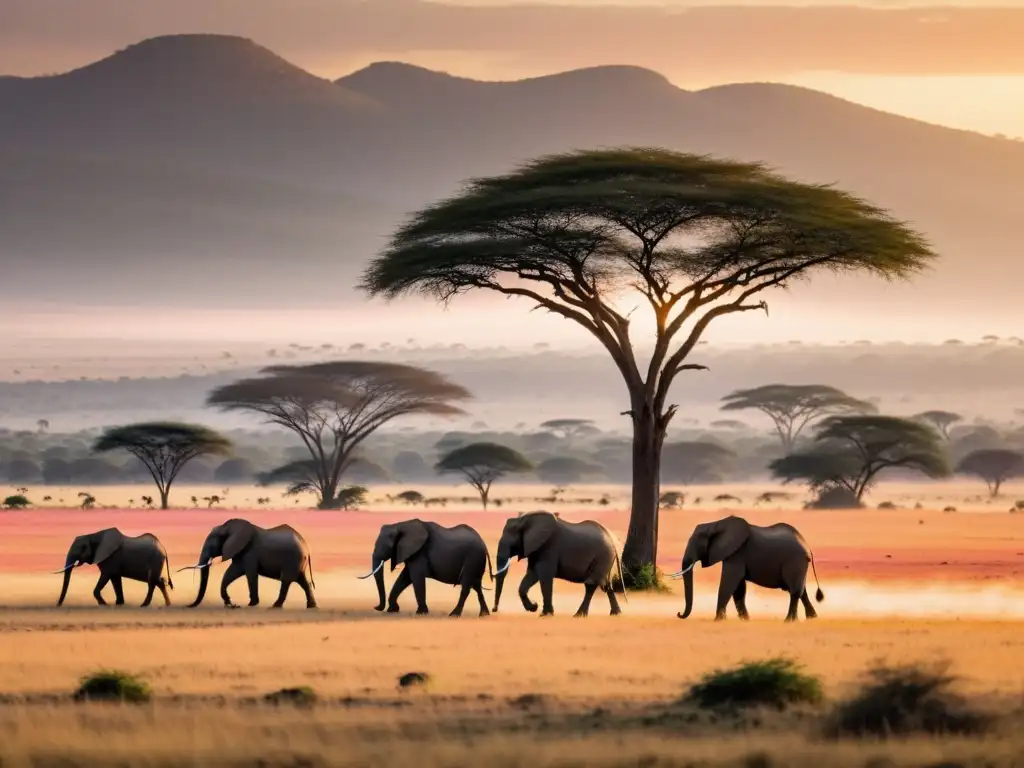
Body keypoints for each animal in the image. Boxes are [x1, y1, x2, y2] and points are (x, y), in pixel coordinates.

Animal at [179, 520, 315, 610]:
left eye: (213, 541)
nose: (188, 605)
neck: (229, 527)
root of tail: (307, 548)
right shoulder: (239, 552)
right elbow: (231, 573)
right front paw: (229, 602)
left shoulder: (250, 553)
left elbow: (250, 574)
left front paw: (251, 604)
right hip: (298, 562)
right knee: (303, 581)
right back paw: (311, 606)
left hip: (292, 560)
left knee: (286, 581)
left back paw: (275, 606)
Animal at [358, 518, 493, 618]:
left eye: (387, 546)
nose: (375, 607)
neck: (401, 525)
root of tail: (484, 543)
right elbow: (404, 578)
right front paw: (393, 610)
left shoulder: (420, 552)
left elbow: (416, 577)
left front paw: (421, 613)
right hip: (476, 561)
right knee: (477, 586)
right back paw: (484, 615)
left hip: (473, 558)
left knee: (466, 587)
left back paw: (454, 615)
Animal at [489, 512, 622, 618]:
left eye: (512, 542)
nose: (494, 609)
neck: (525, 519)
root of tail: (612, 538)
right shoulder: (536, 549)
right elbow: (531, 576)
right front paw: (533, 608)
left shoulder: (549, 548)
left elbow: (545, 578)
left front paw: (545, 614)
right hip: (606, 559)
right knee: (607, 585)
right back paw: (616, 614)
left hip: (603, 555)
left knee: (591, 584)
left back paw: (579, 615)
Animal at [671, 514, 823, 622]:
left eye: (697, 543)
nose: (679, 613)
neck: (715, 524)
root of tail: (807, 546)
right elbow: (738, 588)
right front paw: (745, 620)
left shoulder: (737, 553)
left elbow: (729, 583)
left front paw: (718, 620)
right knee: (801, 591)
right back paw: (811, 618)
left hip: (794, 561)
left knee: (795, 591)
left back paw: (789, 621)